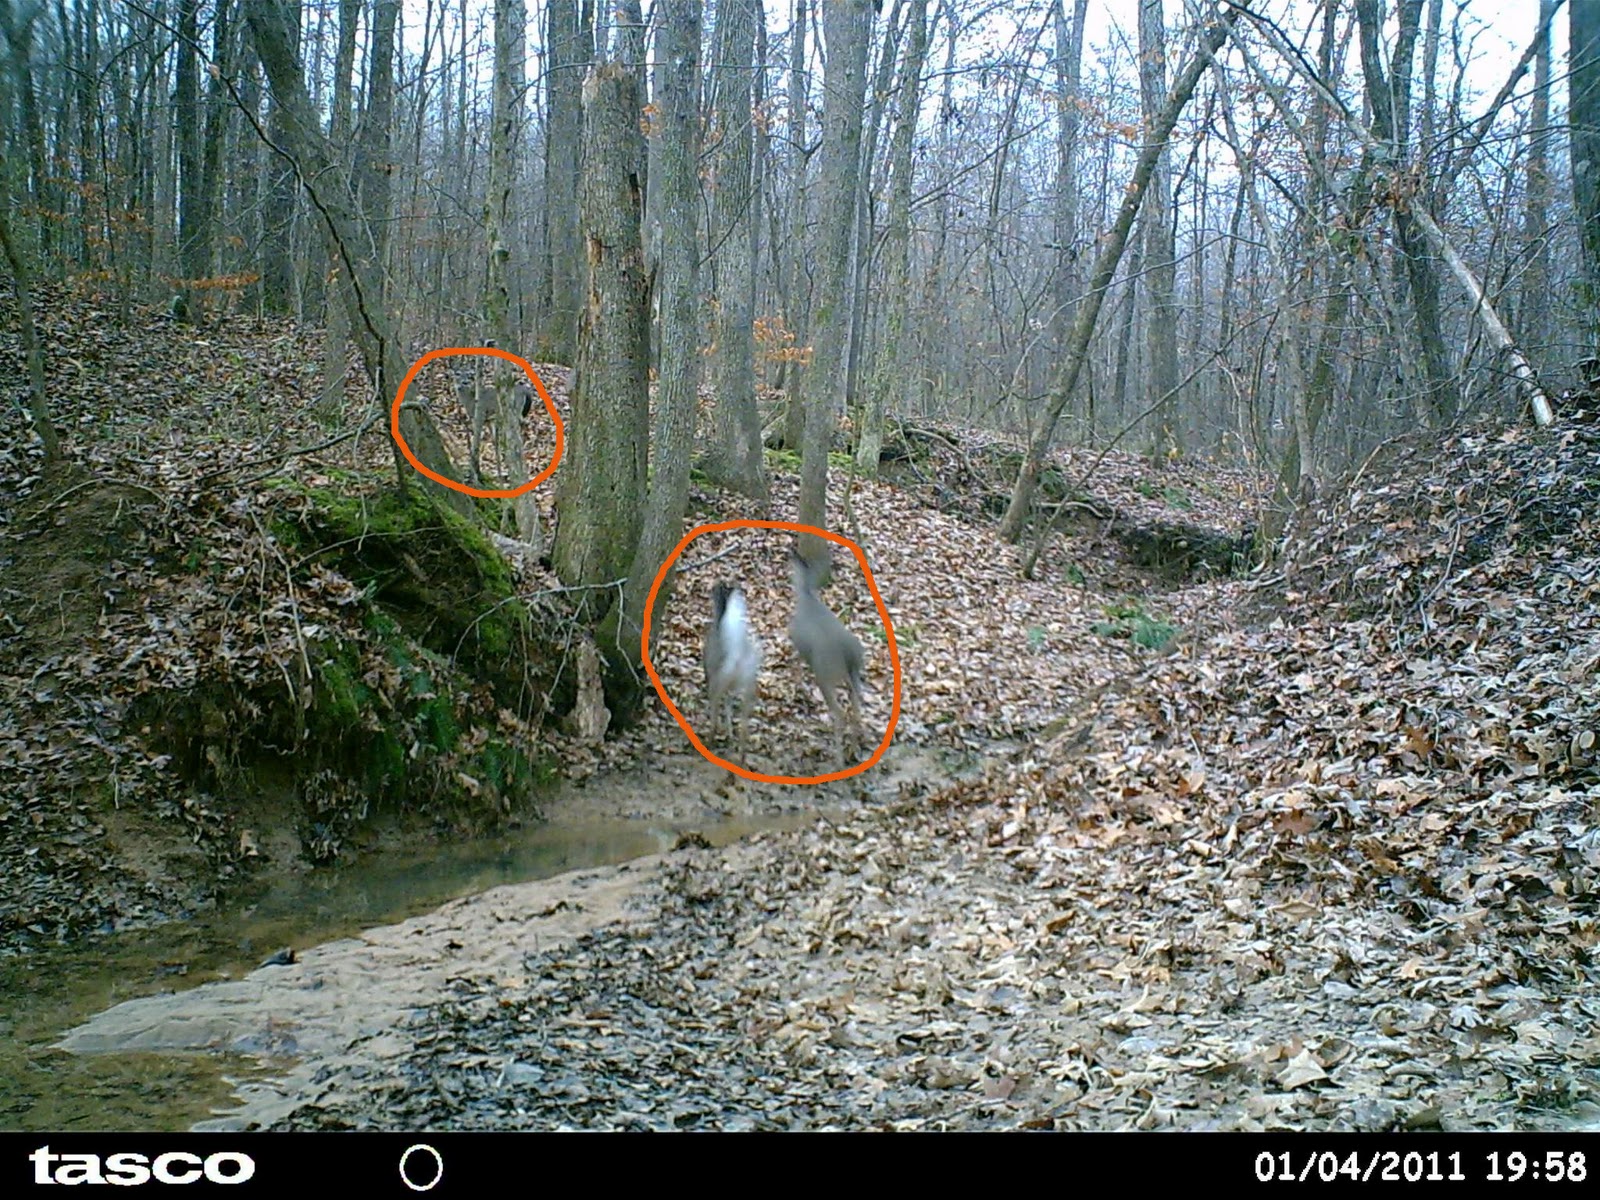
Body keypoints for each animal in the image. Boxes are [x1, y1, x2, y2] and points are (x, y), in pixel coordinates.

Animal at [700, 585, 761, 771]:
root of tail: (737, 656)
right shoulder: (730, 690)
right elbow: (728, 711)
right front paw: (729, 736)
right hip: (748, 689)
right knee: (743, 727)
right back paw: (741, 757)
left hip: (716, 685)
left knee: (713, 721)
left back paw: (709, 744)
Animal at [784, 547, 870, 771]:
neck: (805, 595)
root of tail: (849, 656)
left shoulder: (797, 642)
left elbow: (796, 664)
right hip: (852, 675)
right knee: (856, 706)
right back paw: (855, 749)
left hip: (825, 675)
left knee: (839, 713)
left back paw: (838, 761)